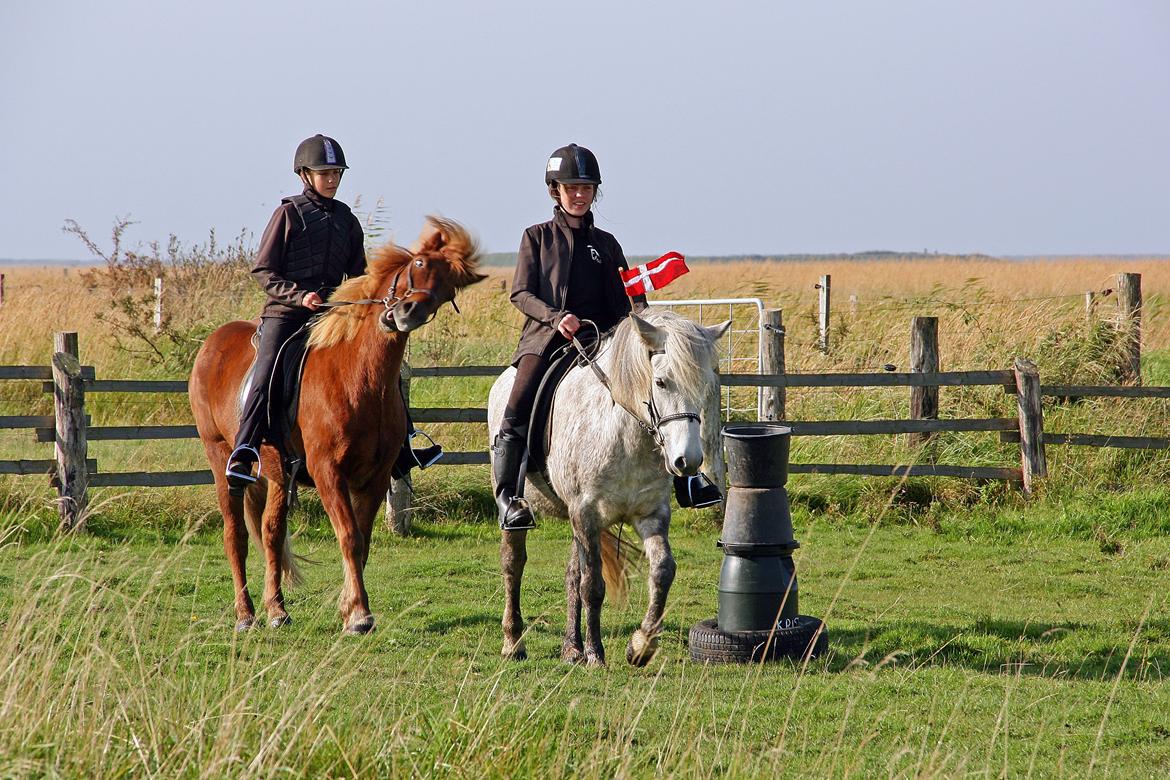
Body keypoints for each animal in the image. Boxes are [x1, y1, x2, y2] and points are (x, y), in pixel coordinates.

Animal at [191, 215, 484, 636]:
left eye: (450, 289)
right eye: (420, 264)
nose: (408, 313)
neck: (357, 374)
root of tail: (213, 342)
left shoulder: (376, 476)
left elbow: (362, 540)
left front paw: (352, 610)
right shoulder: (328, 472)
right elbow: (347, 536)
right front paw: (358, 615)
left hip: (276, 473)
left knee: (271, 533)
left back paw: (277, 611)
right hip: (221, 459)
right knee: (236, 535)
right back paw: (245, 615)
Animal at [486, 308, 725, 664]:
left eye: (704, 385)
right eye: (660, 382)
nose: (689, 461)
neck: (627, 437)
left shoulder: (650, 513)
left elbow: (662, 570)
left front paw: (640, 645)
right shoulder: (586, 512)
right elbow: (593, 586)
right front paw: (596, 653)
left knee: (573, 573)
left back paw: (571, 648)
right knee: (513, 565)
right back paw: (514, 642)